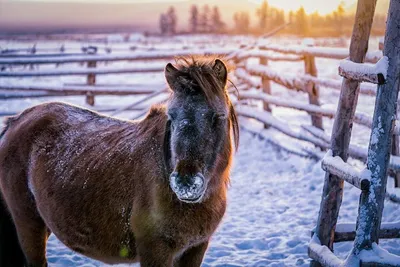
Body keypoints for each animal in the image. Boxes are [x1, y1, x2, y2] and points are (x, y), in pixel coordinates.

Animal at [0, 57, 239, 267]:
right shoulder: (155, 250)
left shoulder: (195, 248)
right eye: (171, 116)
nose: (185, 184)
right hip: (29, 223)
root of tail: (15, 121)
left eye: (218, 116)